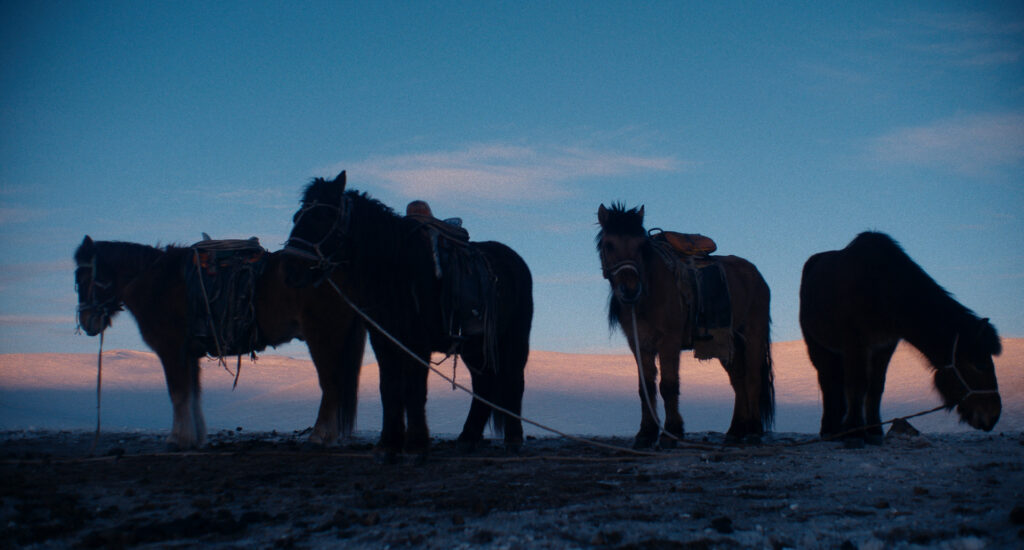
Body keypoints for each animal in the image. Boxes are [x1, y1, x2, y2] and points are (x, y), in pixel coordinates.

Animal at [74, 236, 366, 450]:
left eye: (81, 279)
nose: (88, 322)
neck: (157, 283)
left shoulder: (172, 351)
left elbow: (177, 392)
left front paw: (178, 438)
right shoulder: (189, 354)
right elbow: (193, 394)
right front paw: (196, 437)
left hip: (322, 338)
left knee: (330, 385)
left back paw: (319, 436)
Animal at [281, 171, 533, 459]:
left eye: (322, 216)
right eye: (297, 217)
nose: (289, 270)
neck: (396, 270)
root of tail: (515, 261)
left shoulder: (417, 342)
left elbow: (414, 389)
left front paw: (415, 444)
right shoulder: (384, 340)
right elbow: (389, 388)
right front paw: (388, 443)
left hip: (514, 340)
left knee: (514, 381)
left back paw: (513, 439)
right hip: (475, 346)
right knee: (484, 384)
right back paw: (468, 438)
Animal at [596, 203, 775, 447]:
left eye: (641, 246)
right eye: (609, 244)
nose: (631, 289)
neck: (649, 296)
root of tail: (757, 275)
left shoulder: (669, 342)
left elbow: (668, 385)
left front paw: (672, 432)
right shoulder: (640, 344)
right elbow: (646, 387)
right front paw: (646, 433)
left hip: (753, 335)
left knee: (752, 378)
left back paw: (754, 430)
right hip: (728, 344)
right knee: (738, 380)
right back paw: (736, 430)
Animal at [799, 231, 1002, 447]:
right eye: (979, 364)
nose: (993, 416)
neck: (881, 288)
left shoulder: (884, 346)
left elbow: (876, 386)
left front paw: (873, 431)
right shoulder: (855, 344)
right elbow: (857, 385)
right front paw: (855, 432)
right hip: (818, 347)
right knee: (828, 383)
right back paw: (829, 429)